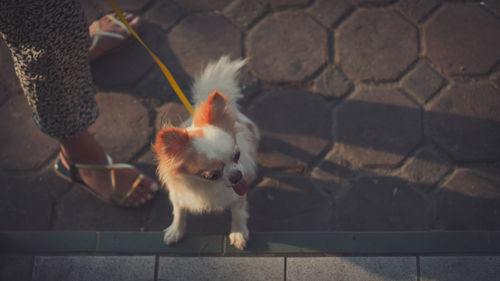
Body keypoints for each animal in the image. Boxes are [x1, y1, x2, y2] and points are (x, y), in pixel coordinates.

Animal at [154, 55, 260, 248]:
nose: (237, 175)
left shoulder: (238, 196)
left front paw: (238, 233)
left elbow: (238, 214)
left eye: (237, 156)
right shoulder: (178, 195)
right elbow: (179, 212)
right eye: (212, 174)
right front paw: (176, 231)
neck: (207, 187)